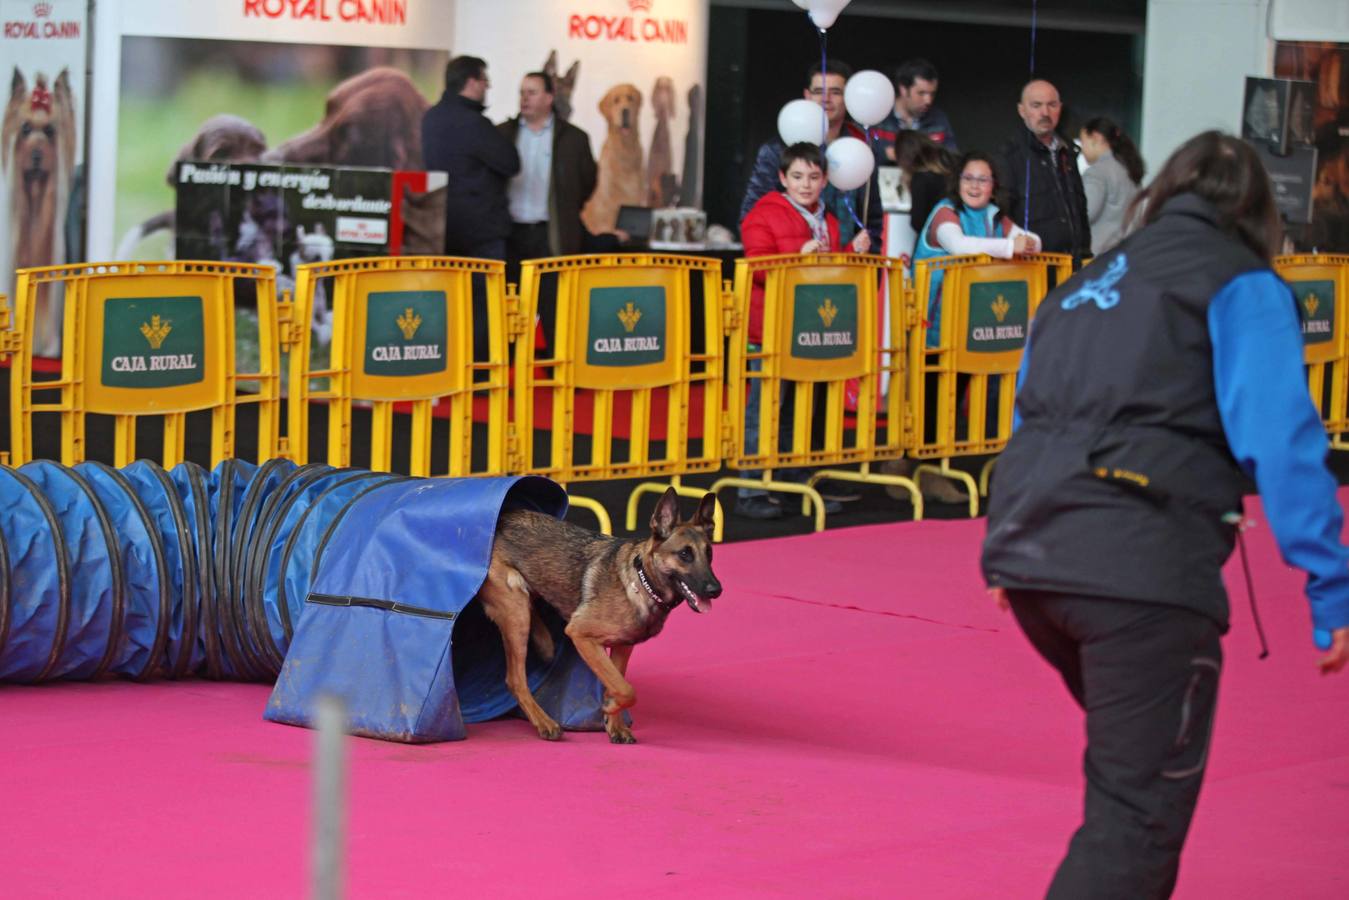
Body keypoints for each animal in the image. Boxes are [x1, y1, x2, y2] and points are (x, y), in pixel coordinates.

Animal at [480, 488, 723, 744]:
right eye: (685, 554)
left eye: (709, 553)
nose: (716, 590)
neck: (642, 580)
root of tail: (500, 519)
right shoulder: (581, 634)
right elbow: (627, 689)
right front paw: (609, 707)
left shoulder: (622, 647)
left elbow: (616, 684)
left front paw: (614, 724)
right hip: (515, 609)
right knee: (516, 680)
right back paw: (544, 721)